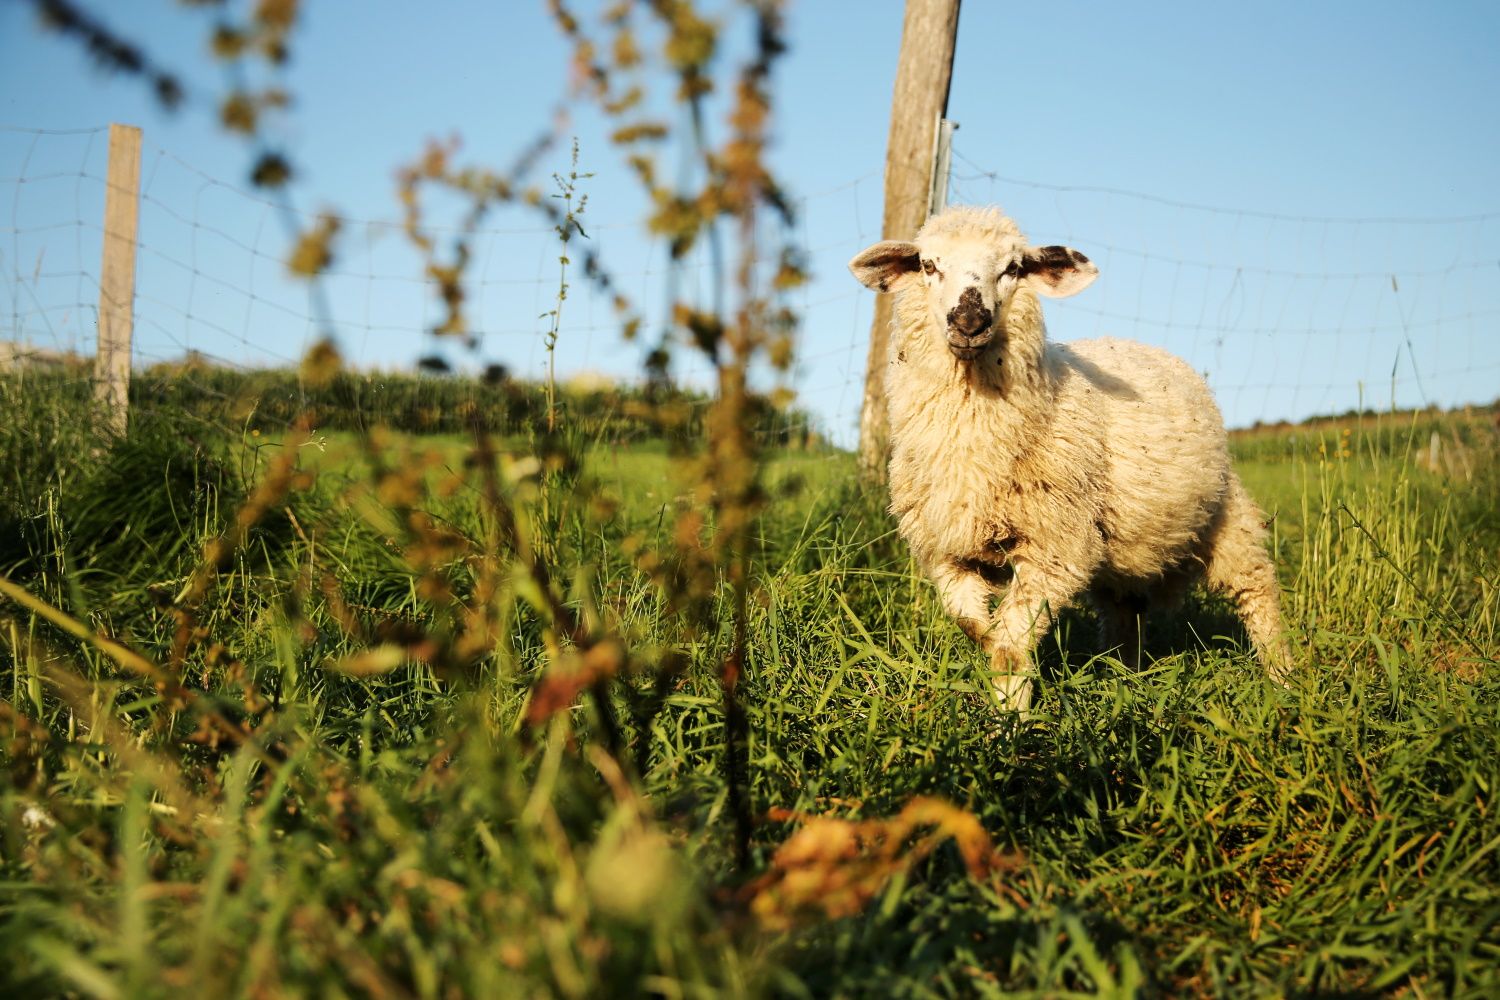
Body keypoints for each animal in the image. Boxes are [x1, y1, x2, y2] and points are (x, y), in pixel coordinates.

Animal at [849, 206, 1291, 714]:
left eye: (1013, 267)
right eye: (928, 265)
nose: (969, 319)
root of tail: (1146, 346)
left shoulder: (1054, 547)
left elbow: (1011, 643)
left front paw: (1012, 721)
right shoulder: (946, 549)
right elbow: (975, 627)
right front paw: (993, 661)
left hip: (1224, 515)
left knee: (1256, 589)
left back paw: (1283, 679)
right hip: (1122, 547)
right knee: (1125, 609)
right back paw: (1127, 678)